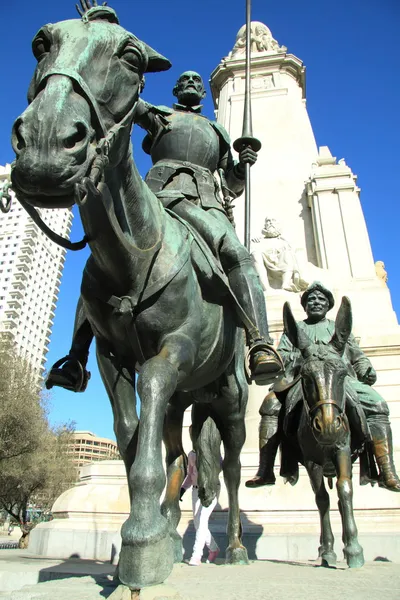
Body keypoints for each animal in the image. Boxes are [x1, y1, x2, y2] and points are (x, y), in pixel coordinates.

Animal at [11, 4, 250, 588]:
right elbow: (130, 434)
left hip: (232, 402)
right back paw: (172, 531)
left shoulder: (171, 353)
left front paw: (141, 539)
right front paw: (150, 537)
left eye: (131, 56)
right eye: (41, 42)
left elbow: (149, 418)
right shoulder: (110, 355)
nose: (47, 144)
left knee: (233, 470)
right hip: (190, 401)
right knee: (177, 451)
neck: (135, 254)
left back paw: (234, 546)